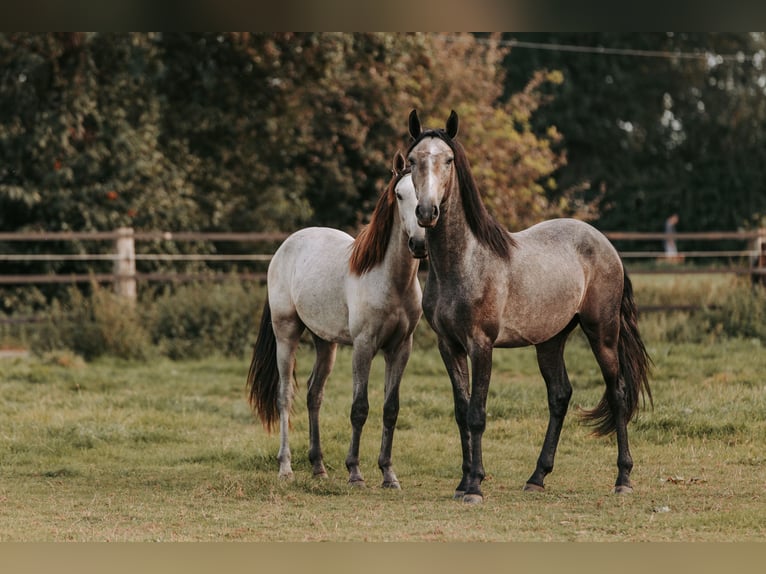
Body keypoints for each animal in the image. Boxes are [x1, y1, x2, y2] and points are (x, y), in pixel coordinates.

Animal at [249, 153, 426, 490]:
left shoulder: (401, 347)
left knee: (313, 394)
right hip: (286, 333)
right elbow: (360, 408)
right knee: (284, 397)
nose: (419, 244)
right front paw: (355, 472)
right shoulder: (364, 345)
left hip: (325, 342)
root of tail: (284, 248)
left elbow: (390, 409)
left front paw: (388, 474)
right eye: (399, 195)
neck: (389, 279)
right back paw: (286, 467)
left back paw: (318, 466)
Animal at [408, 109, 656, 504]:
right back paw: (537, 476)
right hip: (550, 341)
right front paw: (462, 482)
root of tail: (606, 245)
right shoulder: (450, 346)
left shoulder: (481, 345)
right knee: (560, 396)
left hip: (602, 333)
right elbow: (461, 412)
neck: (464, 262)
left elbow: (477, 414)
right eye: (412, 160)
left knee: (617, 394)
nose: (427, 211)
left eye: (447, 160)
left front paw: (475, 485)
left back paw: (623, 479)